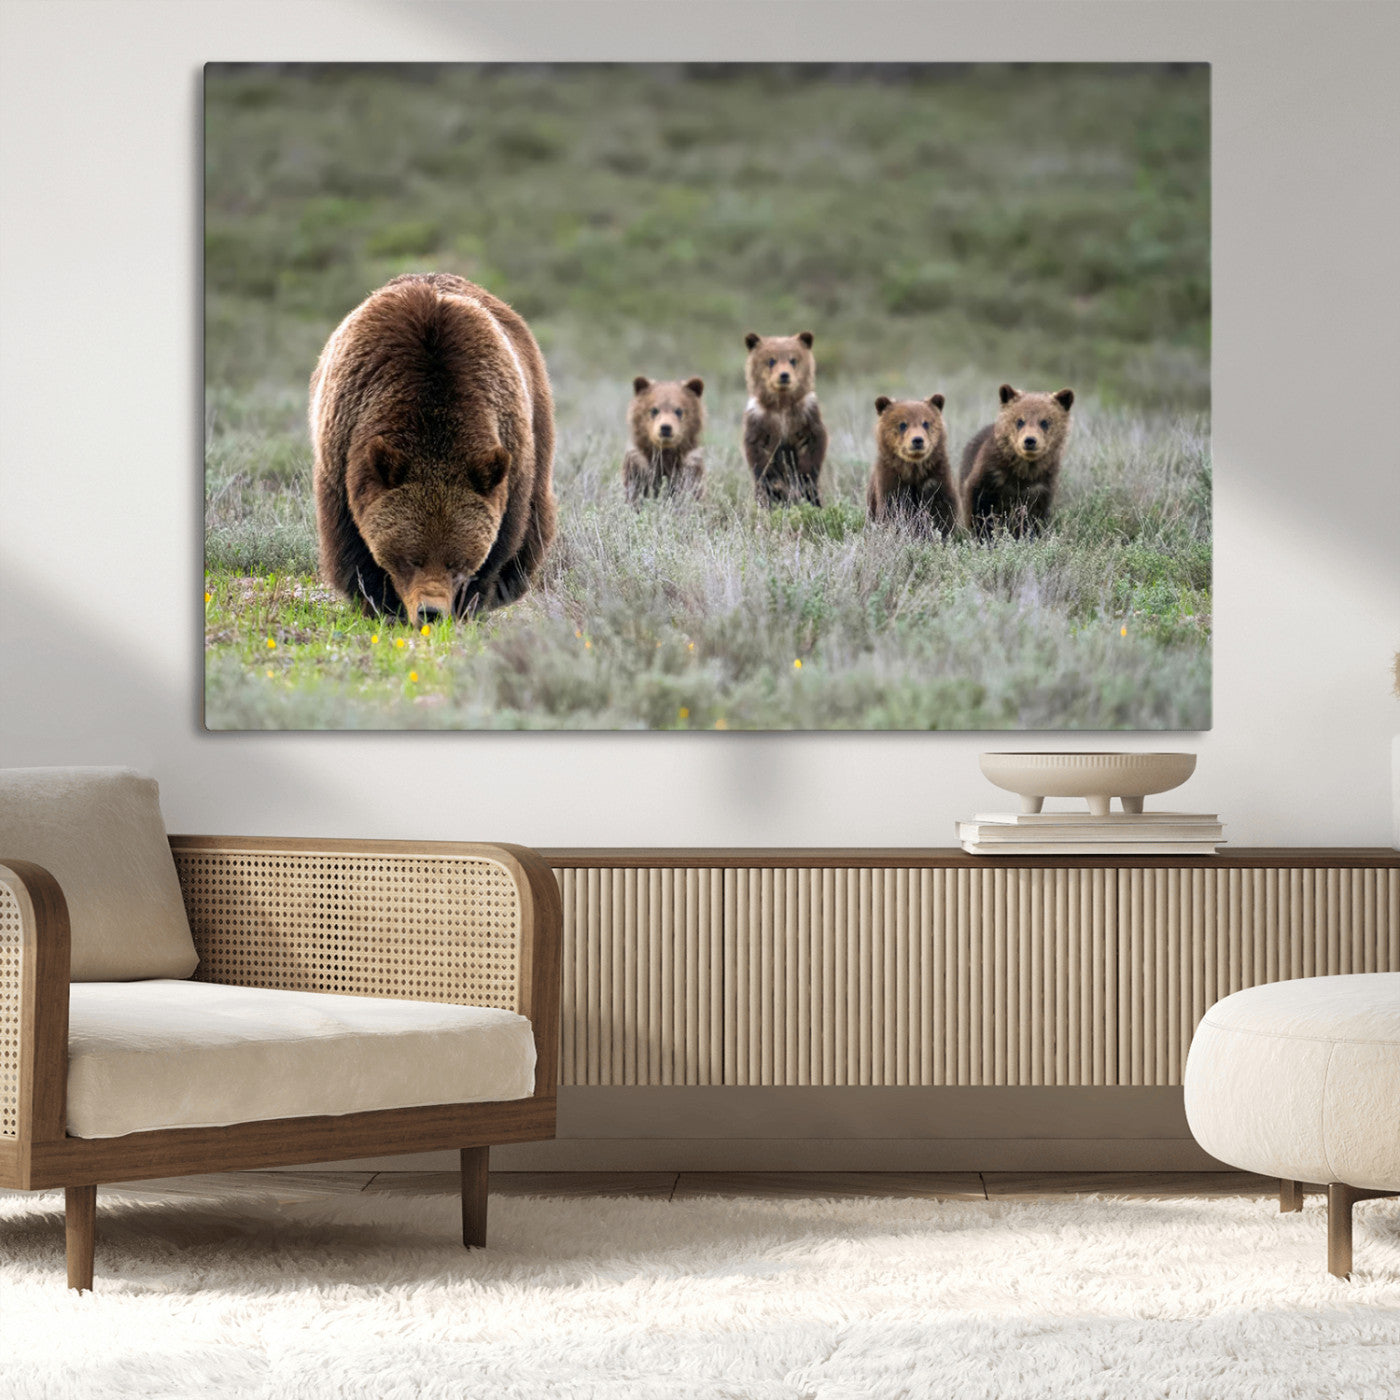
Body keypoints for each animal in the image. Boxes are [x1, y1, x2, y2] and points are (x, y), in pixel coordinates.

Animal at [310, 272, 557, 622]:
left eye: (457, 561)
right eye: (411, 557)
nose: (431, 611)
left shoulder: (510, 452)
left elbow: (503, 539)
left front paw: (470, 603)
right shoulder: (344, 448)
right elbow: (350, 541)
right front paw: (380, 602)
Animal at [741, 330, 827, 506]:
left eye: (793, 359)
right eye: (771, 360)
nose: (784, 375)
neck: (782, 406)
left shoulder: (806, 416)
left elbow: (812, 448)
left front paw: (803, 481)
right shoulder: (759, 421)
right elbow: (760, 456)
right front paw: (776, 487)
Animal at [865, 394, 960, 535]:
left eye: (925, 423)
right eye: (903, 424)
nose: (917, 440)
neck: (913, 470)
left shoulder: (936, 479)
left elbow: (942, 513)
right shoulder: (891, 482)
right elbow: (891, 512)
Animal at [960, 384, 1074, 540]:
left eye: (1045, 422)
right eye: (1020, 421)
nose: (1030, 440)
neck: (1023, 472)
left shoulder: (1041, 485)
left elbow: (1034, 517)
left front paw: (1029, 535)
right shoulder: (990, 476)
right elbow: (979, 507)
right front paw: (984, 535)